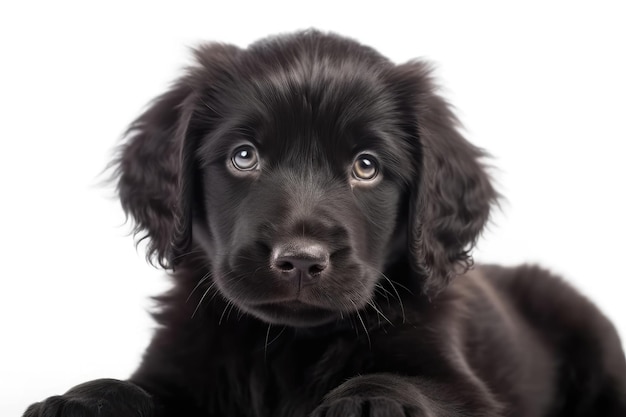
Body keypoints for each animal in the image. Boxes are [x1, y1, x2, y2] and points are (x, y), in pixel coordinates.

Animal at [23, 30, 624, 416]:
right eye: (244, 156)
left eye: (366, 166)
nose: (299, 260)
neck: (286, 344)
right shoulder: (176, 367)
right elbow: (138, 390)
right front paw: (83, 398)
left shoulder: (465, 387)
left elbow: (410, 382)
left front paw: (370, 399)